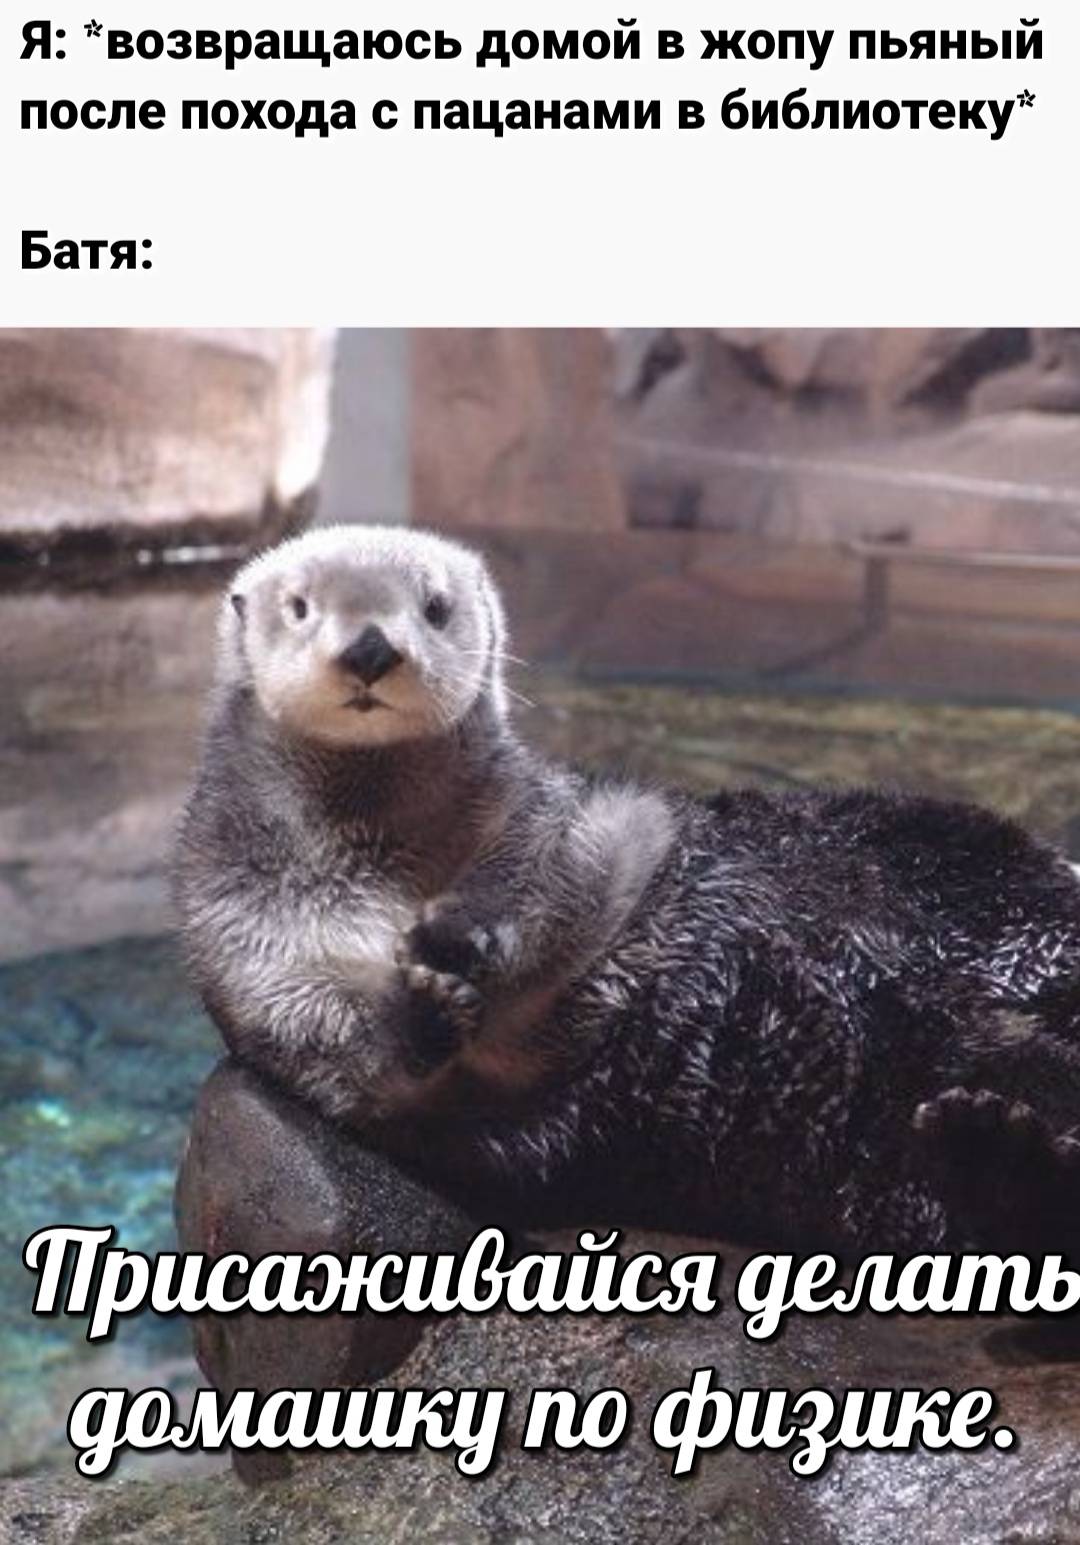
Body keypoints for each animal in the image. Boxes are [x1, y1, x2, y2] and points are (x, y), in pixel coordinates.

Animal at [174, 525, 1080, 1256]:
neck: (384, 854)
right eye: (299, 606)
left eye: (434, 607)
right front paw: (427, 1002)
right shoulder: (242, 923)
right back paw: (991, 1147)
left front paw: (461, 934)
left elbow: (567, 872)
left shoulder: (569, 815)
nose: (369, 649)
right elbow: (327, 1032)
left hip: (967, 865)